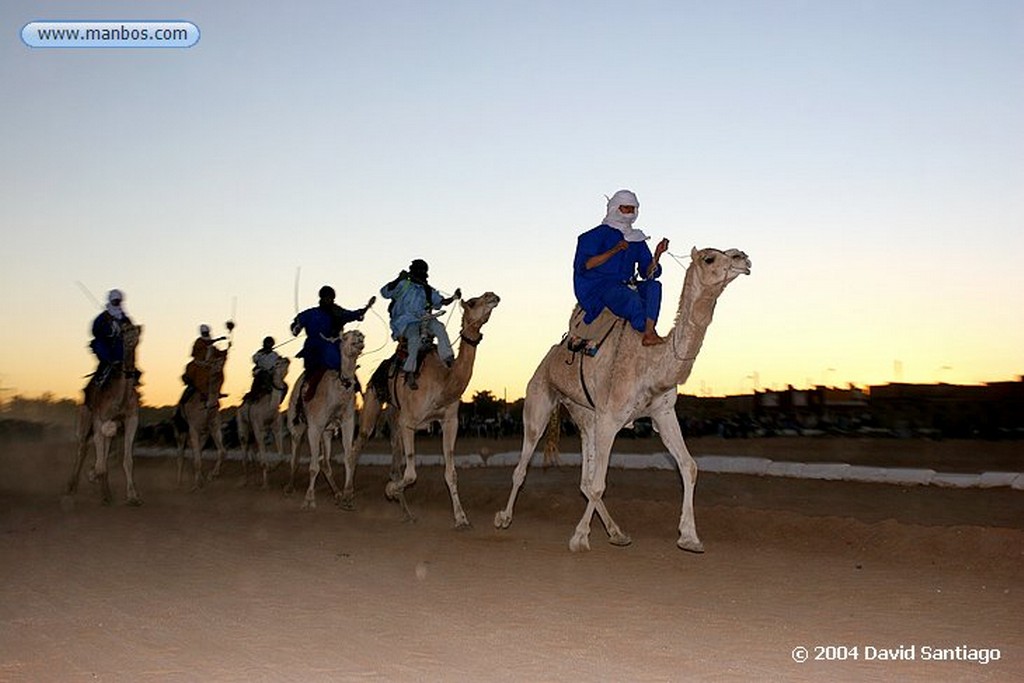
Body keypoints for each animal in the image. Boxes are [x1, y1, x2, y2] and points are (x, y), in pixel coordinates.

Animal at [66, 323, 144, 505]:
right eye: (124, 331)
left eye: (136, 330)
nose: (131, 338)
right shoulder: (99, 419)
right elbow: (100, 461)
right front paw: (92, 475)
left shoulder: (131, 418)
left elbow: (127, 460)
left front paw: (133, 496)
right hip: (85, 418)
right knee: (82, 448)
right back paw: (72, 487)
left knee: (103, 451)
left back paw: (106, 492)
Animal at [234, 358, 288, 491]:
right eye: (277, 363)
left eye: (281, 359)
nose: (286, 359)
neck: (269, 408)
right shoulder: (258, 428)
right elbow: (263, 458)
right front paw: (265, 484)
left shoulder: (276, 427)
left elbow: (281, 455)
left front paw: (271, 468)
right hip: (242, 424)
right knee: (244, 448)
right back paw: (245, 480)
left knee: (253, 449)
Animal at [286, 327, 366, 509]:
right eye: (345, 337)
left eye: (359, 335)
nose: (359, 335)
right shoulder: (314, 427)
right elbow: (313, 466)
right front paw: (309, 499)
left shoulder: (347, 422)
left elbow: (348, 457)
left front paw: (347, 495)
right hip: (297, 424)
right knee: (295, 455)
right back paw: (290, 486)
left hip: (327, 432)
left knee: (326, 462)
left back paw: (337, 493)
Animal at [354, 290, 501, 528]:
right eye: (472, 303)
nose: (492, 296)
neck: (444, 381)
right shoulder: (409, 422)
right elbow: (411, 474)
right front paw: (389, 490)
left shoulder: (450, 421)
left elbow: (450, 473)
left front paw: (461, 518)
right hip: (373, 397)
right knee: (358, 444)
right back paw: (346, 497)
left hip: (394, 416)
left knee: (394, 461)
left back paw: (407, 514)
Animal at [495, 248, 753, 552]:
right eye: (709, 258)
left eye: (731, 252)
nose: (743, 258)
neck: (652, 362)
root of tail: (549, 357)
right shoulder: (610, 417)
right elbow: (599, 484)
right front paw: (579, 538)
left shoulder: (663, 413)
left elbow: (688, 466)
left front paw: (690, 537)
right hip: (539, 399)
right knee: (524, 465)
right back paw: (504, 518)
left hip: (585, 416)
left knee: (584, 480)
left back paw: (617, 532)